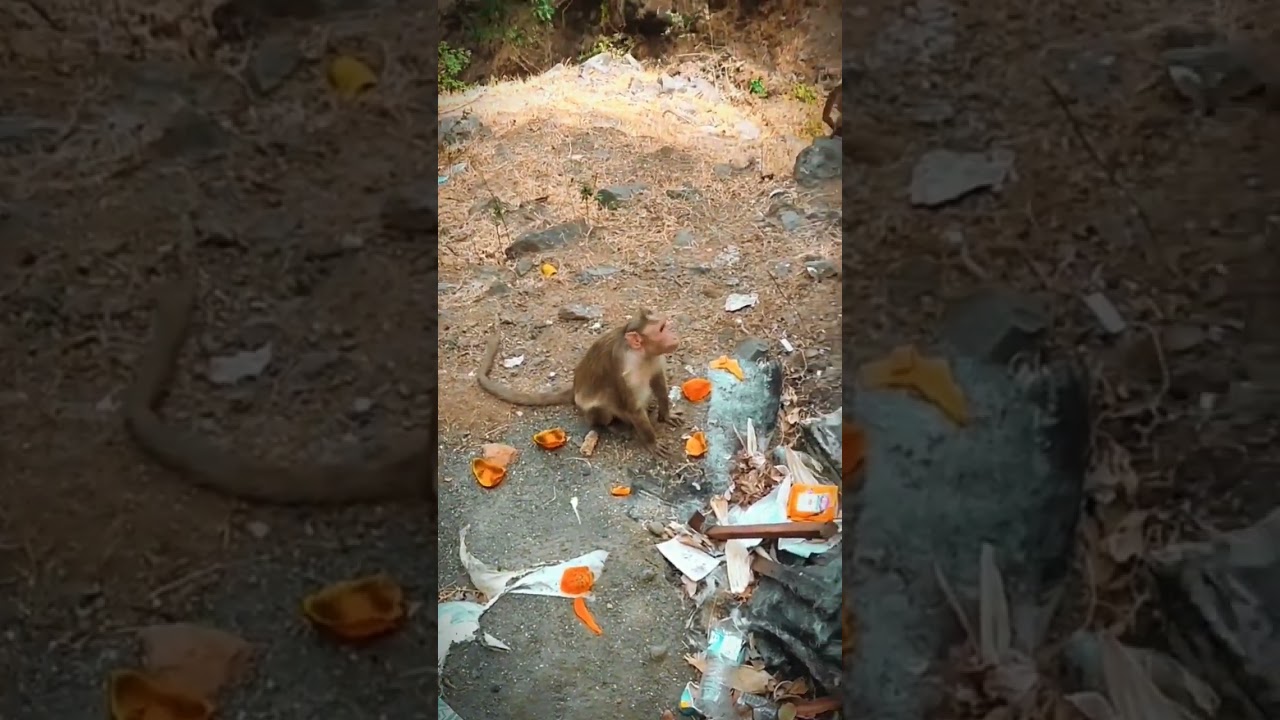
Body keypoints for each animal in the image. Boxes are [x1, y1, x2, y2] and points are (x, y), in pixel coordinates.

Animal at [477, 310, 682, 459]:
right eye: (662, 329)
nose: (674, 336)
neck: (641, 353)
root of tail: (575, 387)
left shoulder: (654, 358)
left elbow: (658, 382)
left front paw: (666, 414)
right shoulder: (626, 369)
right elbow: (632, 408)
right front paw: (652, 442)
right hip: (590, 409)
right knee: (602, 411)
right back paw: (613, 426)